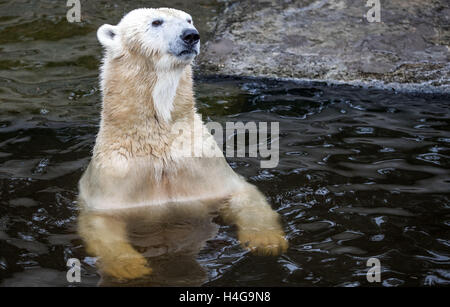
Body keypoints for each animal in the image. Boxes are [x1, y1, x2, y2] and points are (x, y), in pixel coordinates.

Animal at [77, 7, 286, 282]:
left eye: (188, 19)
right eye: (156, 22)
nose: (191, 35)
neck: (159, 138)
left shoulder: (201, 164)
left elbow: (242, 194)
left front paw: (267, 242)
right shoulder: (115, 177)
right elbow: (101, 223)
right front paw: (130, 267)